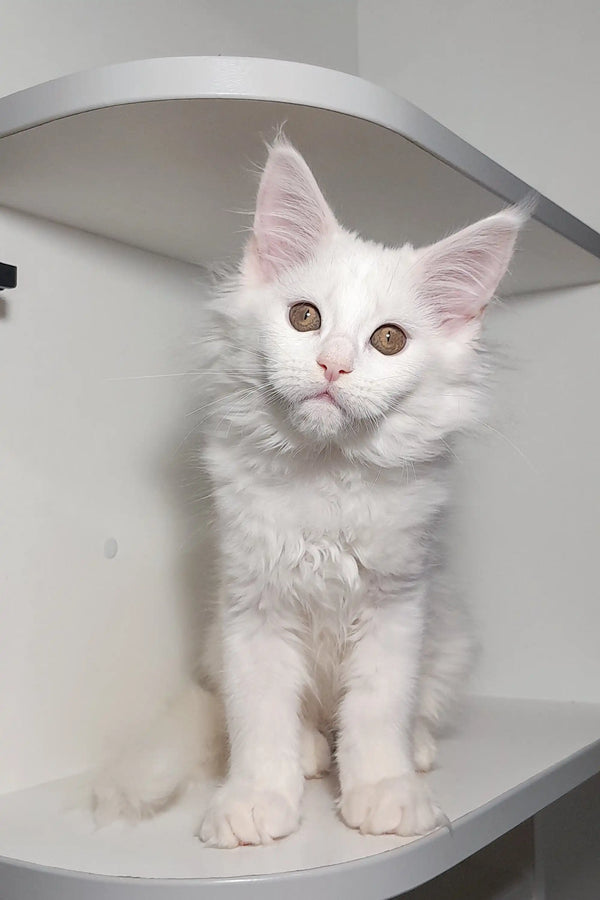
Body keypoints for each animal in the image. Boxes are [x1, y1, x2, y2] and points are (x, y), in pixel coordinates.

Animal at [92, 139, 524, 844]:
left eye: (388, 340)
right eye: (305, 318)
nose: (333, 364)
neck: (325, 477)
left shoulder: (397, 606)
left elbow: (378, 712)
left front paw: (383, 792)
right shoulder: (252, 611)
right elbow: (259, 720)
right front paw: (255, 799)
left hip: (450, 637)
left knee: (410, 709)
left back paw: (414, 750)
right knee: (296, 721)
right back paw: (311, 754)